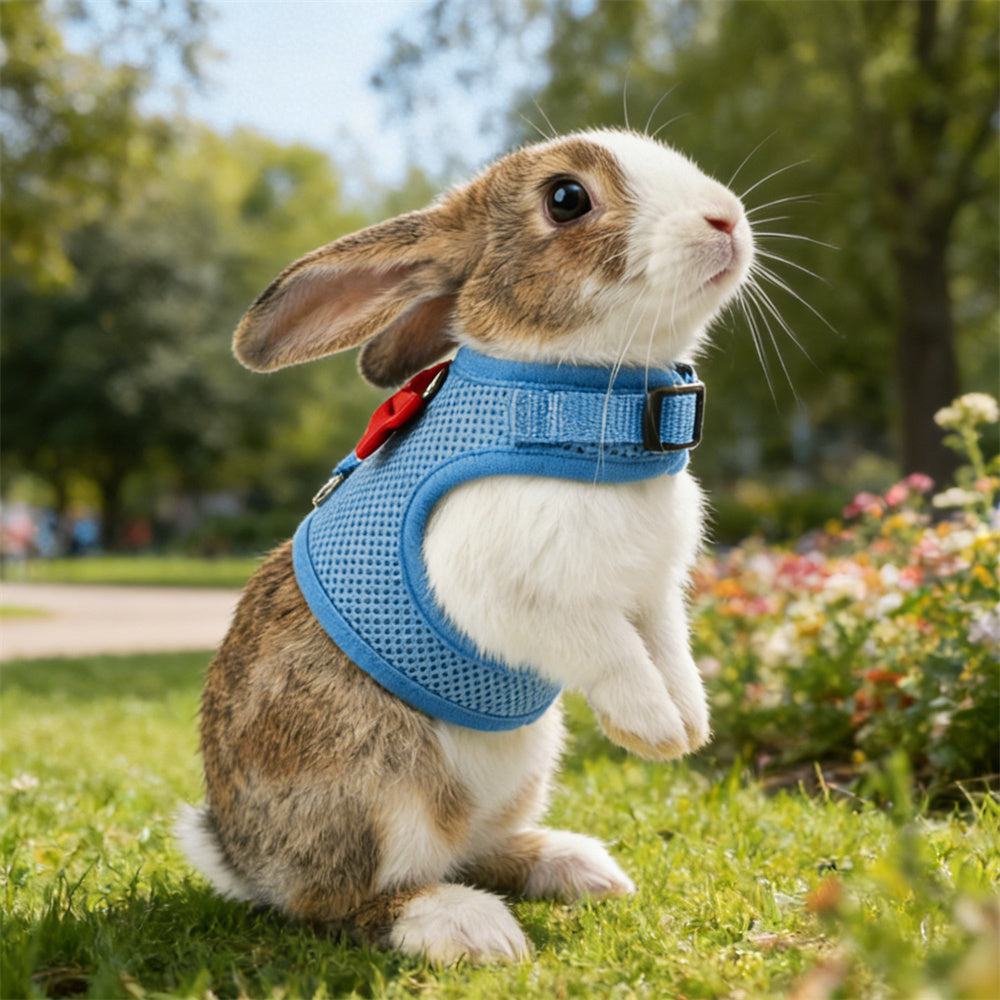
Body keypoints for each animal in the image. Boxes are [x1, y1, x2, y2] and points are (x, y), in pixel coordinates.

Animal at [177, 127, 754, 964]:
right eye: (567, 198)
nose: (725, 219)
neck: (574, 398)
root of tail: (243, 857)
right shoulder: (513, 596)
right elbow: (610, 651)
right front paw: (651, 731)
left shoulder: (655, 598)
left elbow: (669, 653)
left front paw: (689, 727)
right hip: (377, 791)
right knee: (344, 902)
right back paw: (467, 926)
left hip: (523, 765)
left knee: (478, 850)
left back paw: (577, 867)